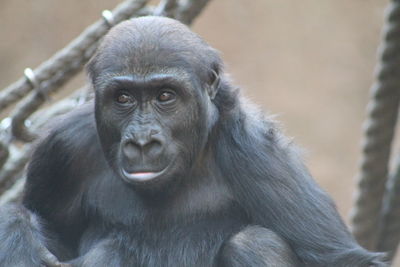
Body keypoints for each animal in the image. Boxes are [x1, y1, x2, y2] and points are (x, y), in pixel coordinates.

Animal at [0, 16, 386, 267]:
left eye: (165, 96)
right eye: (123, 98)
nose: (143, 141)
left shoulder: (259, 151)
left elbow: (341, 260)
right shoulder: (61, 148)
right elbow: (47, 228)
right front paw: (19, 232)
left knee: (254, 243)